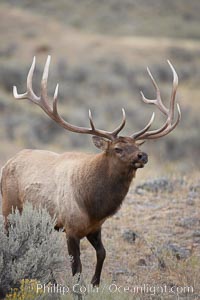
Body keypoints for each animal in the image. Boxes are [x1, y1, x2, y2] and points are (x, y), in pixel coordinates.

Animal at [0, 55, 180, 286]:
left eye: (137, 146)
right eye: (118, 148)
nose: (143, 156)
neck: (93, 204)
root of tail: (8, 162)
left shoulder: (95, 227)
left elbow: (102, 253)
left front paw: (95, 282)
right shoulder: (71, 227)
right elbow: (76, 267)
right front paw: (79, 287)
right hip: (10, 208)